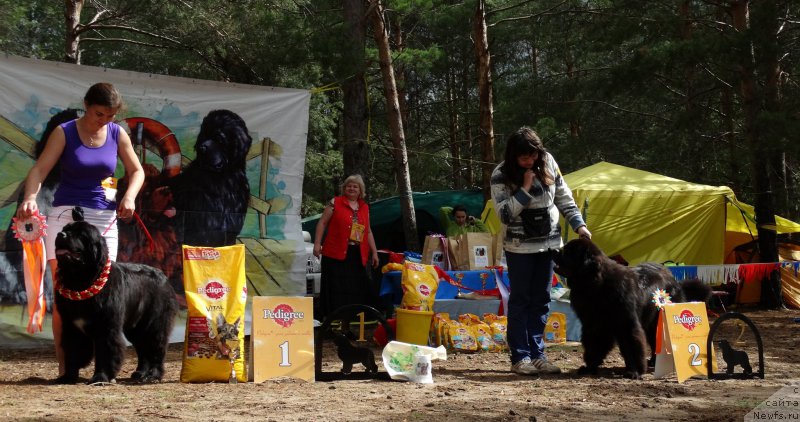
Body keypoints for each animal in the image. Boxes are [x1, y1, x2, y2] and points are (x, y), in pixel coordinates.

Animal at [55, 219, 178, 384]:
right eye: (65, 229)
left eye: (81, 235)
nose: (60, 234)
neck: (80, 281)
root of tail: (164, 276)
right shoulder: (71, 327)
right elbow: (72, 351)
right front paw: (68, 376)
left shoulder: (107, 327)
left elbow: (105, 353)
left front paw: (100, 377)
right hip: (135, 327)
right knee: (143, 349)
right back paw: (140, 372)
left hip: (154, 323)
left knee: (156, 348)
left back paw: (153, 375)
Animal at [552, 237, 708, 380]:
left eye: (570, 251)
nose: (553, 250)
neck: (597, 285)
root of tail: (673, 278)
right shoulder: (594, 325)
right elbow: (594, 345)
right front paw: (590, 367)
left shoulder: (626, 325)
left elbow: (631, 347)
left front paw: (634, 371)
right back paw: (653, 361)